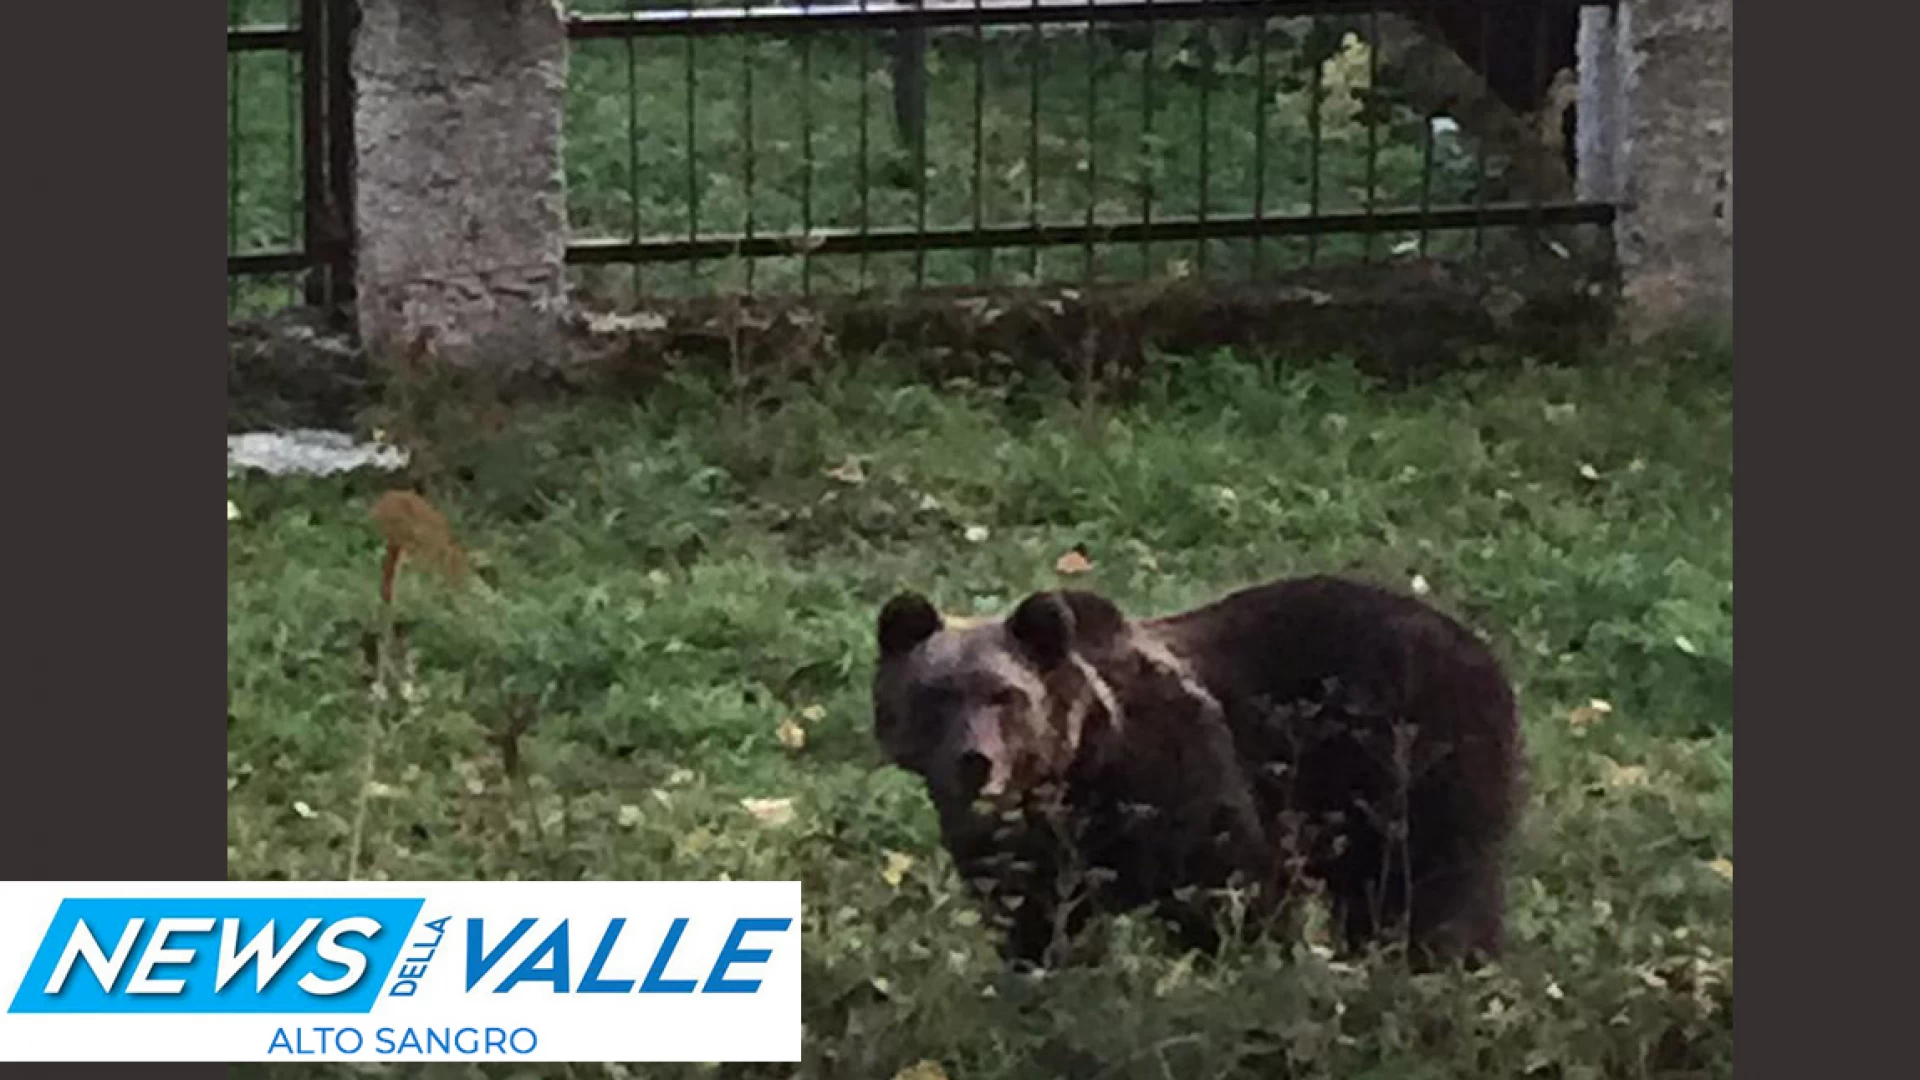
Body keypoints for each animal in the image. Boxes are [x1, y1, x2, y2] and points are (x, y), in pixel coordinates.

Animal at [879, 572, 1520, 968]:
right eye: (935, 695)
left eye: (1005, 696)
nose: (974, 761)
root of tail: (1482, 646)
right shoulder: (1020, 853)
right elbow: (1036, 926)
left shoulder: (1182, 775)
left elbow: (1232, 889)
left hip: (1414, 758)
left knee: (1430, 887)